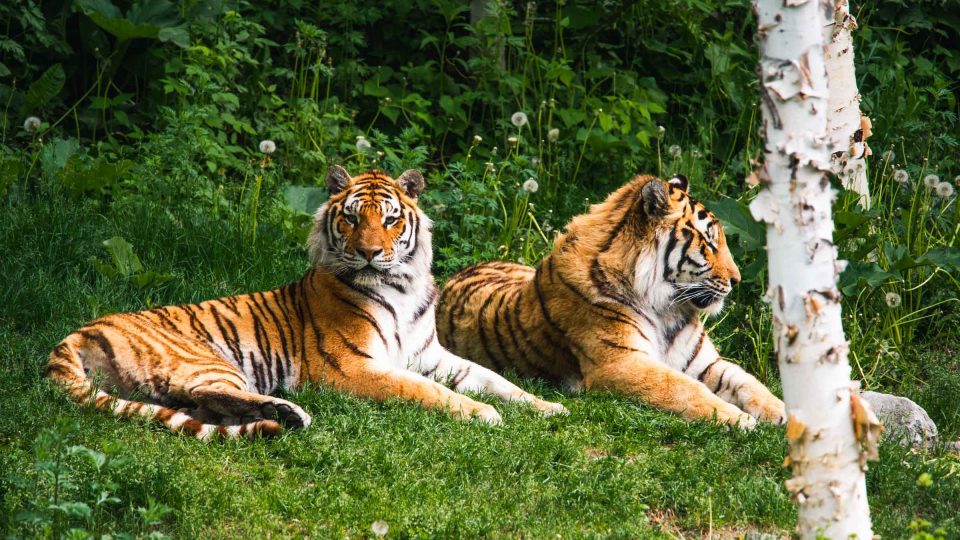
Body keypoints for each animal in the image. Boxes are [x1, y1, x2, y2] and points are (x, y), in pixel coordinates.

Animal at [47, 165, 567, 440]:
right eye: (352, 219)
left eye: (391, 220)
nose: (369, 252)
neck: (402, 287)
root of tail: (76, 333)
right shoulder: (353, 368)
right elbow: (424, 391)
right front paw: (484, 414)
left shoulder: (433, 356)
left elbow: (496, 379)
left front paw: (547, 407)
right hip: (203, 358)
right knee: (208, 396)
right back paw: (289, 412)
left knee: (199, 405)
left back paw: (281, 415)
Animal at [437, 174, 785, 429]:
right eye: (710, 243)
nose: (736, 281)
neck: (667, 309)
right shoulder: (621, 363)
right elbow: (683, 388)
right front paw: (739, 419)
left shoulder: (702, 362)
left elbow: (746, 381)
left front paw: (781, 411)